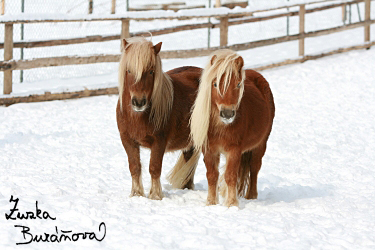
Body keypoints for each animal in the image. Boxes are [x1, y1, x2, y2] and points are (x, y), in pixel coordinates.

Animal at [117, 37, 201, 200]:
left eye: (151, 71)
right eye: (129, 70)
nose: (139, 102)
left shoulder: (159, 141)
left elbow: (154, 168)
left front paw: (155, 196)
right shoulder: (127, 140)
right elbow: (134, 167)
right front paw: (136, 194)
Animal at [191, 49, 276, 206]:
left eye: (237, 84)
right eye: (215, 84)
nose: (227, 113)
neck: (220, 127)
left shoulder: (234, 150)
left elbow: (230, 176)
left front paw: (231, 204)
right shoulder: (209, 150)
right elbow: (212, 175)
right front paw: (211, 202)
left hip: (260, 144)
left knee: (254, 168)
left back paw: (251, 196)